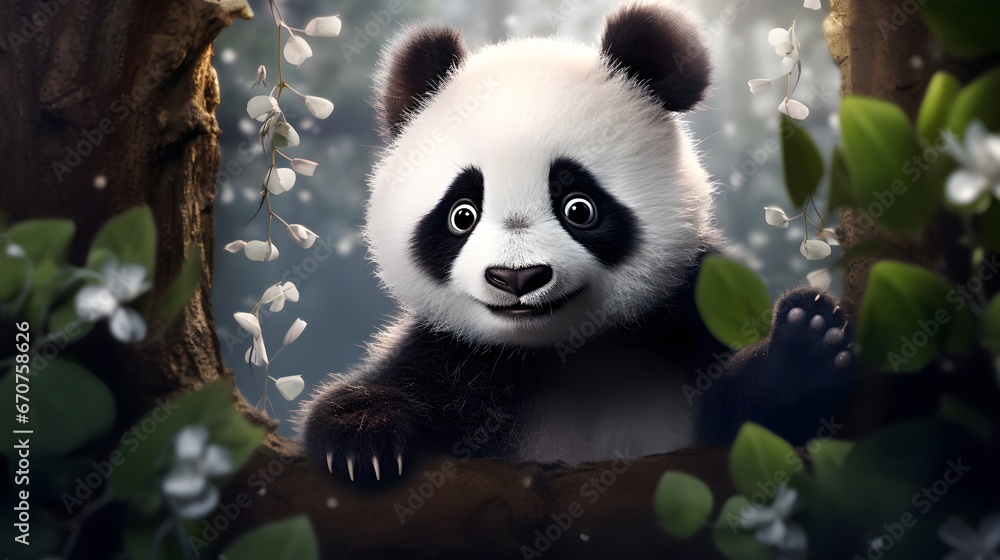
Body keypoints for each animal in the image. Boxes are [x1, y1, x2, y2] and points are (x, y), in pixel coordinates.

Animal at [298, 0, 856, 482]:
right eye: (462, 215)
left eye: (579, 208)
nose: (517, 278)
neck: (564, 350)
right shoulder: (452, 351)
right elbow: (383, 386)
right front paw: (361, 439)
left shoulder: (693, 304)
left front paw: (805, 345)